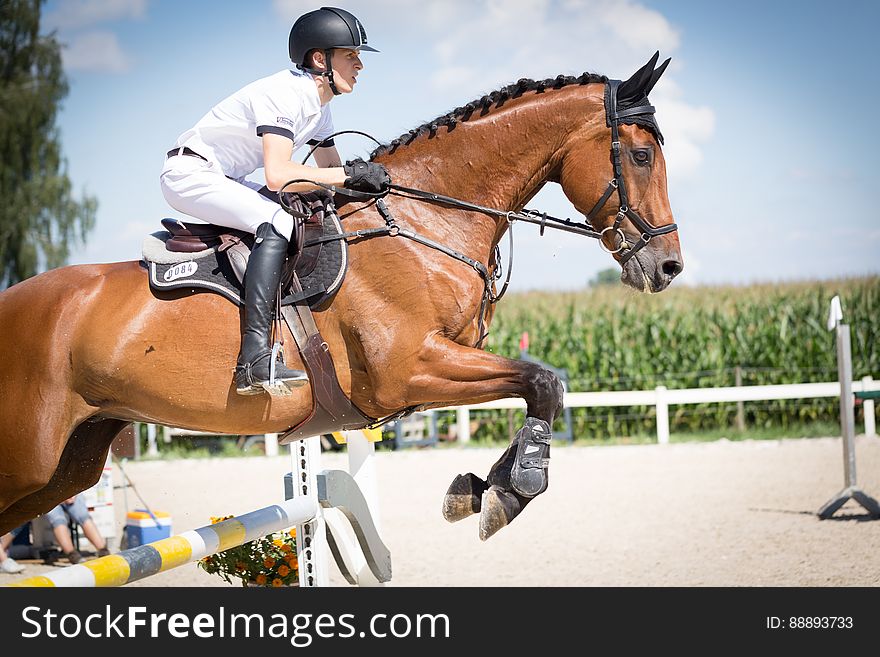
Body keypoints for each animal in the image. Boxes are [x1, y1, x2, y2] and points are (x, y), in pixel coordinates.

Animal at [0, 52, 680, 540]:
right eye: (641, 156)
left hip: (67, 463)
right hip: (30, 456)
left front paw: (487, 485)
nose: (668, 266)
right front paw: (513, 490)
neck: (428, 217)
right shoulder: (407, 369)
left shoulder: (442, 365)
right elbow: (542, 381)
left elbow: (541, 384)